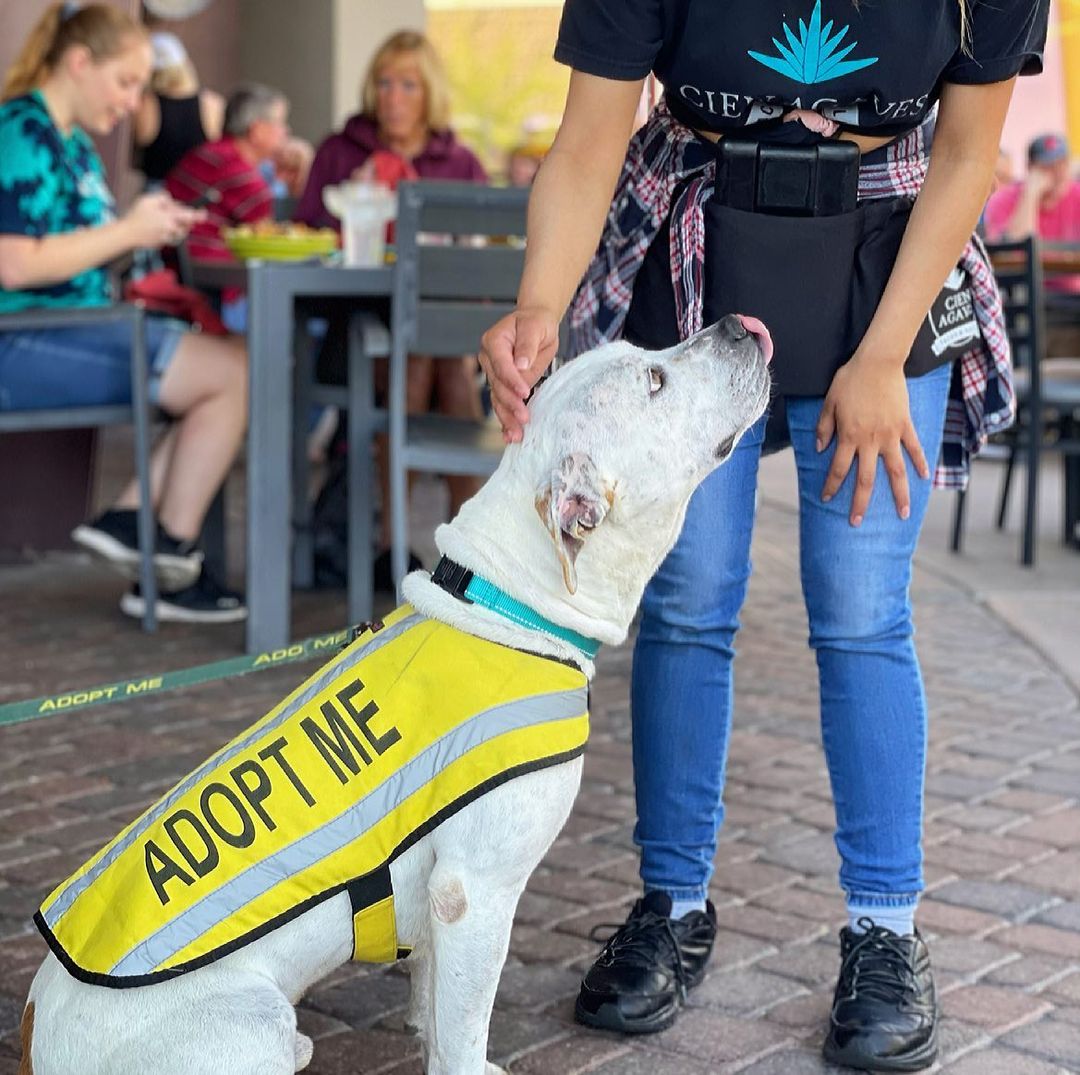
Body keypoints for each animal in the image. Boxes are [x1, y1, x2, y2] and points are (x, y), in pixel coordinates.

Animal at [21, 317, 773, 1075]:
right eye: (655, 380)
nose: (738, 326)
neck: (507, 604)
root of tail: (33, 1038)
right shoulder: (476, 892)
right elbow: (465, 1027)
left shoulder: (445, 904)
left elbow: (435, 998)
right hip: (253, 1019)